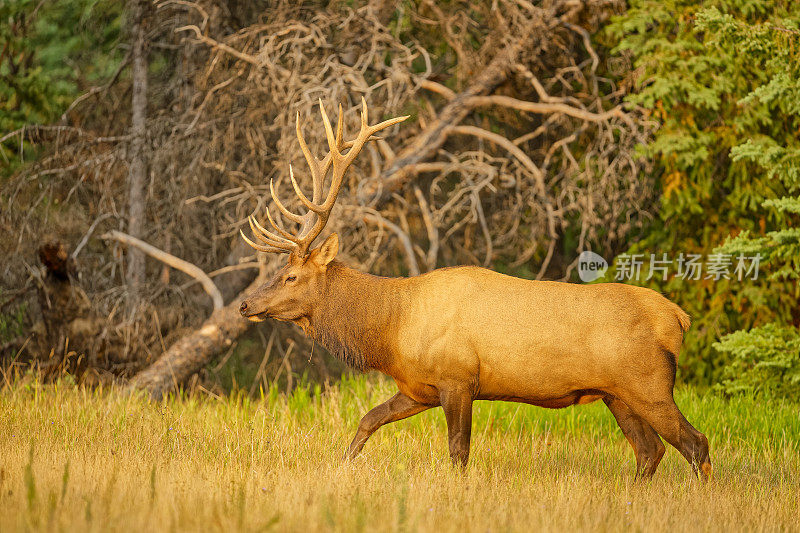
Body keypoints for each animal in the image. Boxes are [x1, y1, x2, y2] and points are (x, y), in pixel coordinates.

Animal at [238, 98, 712, 478]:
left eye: (291, 276)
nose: (245, 305)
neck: (391, 330)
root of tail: (677, 318)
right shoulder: (418, 388)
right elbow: (367, 420)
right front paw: (343, 465)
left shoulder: (458, 378)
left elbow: (458, 452)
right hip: (618, 395)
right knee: (650, 451)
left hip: (649, 385)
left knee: (695, 444)